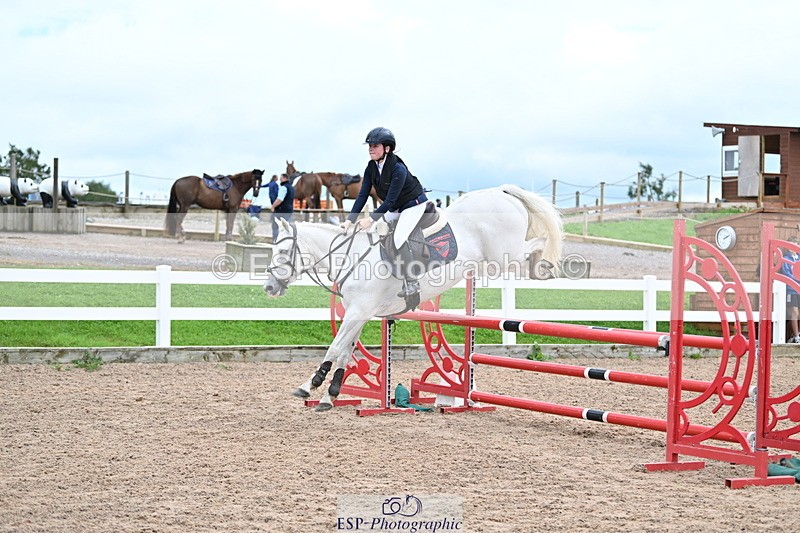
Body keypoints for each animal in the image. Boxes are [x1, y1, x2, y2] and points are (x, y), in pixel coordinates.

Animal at [263, 184, 563, 411]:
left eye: (282, 252)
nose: (269, 288)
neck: (352, 256)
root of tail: (500, 191)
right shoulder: (358, 313)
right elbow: (345, 351)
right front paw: (330, 395)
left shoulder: (358, 311)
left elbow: (335, 348)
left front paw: (309, 386)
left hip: (506, 254)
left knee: (534, 245)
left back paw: (543, 264)